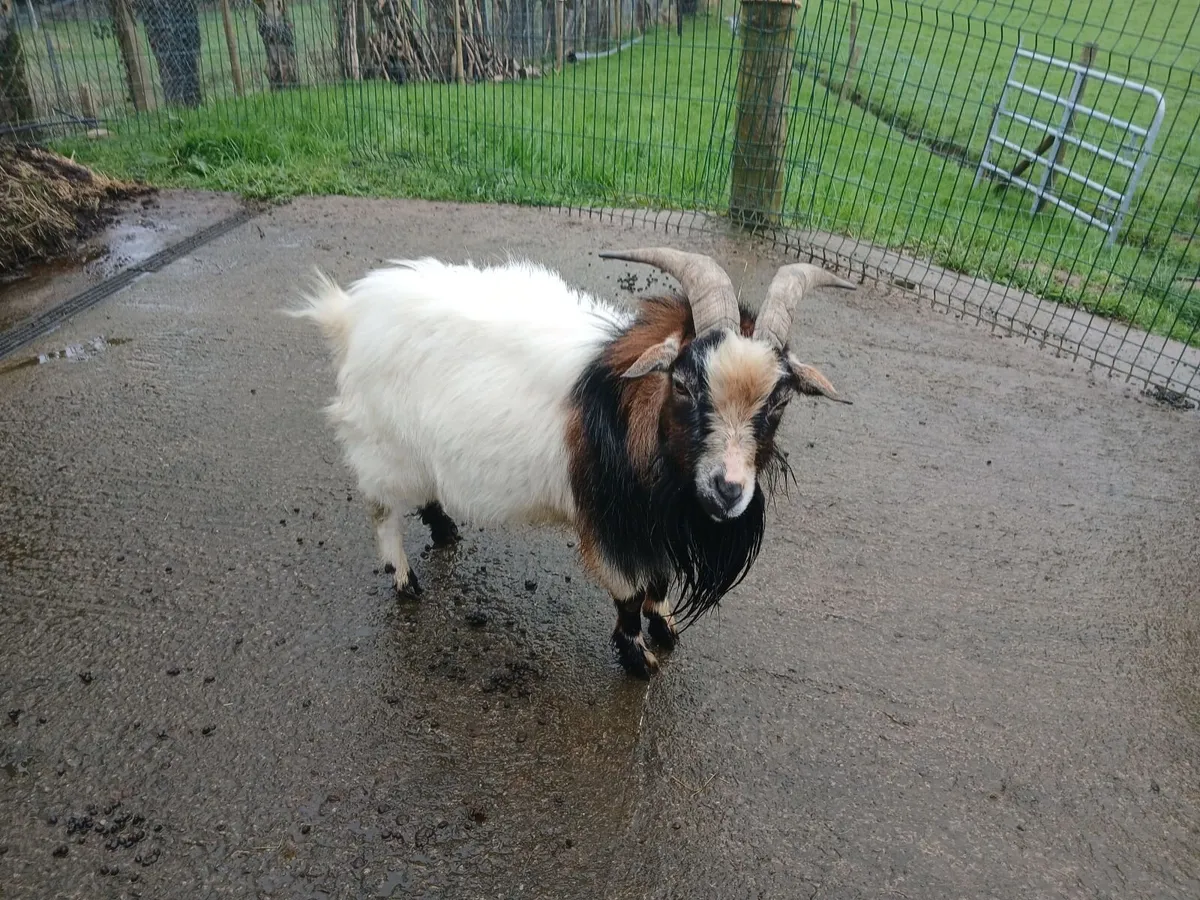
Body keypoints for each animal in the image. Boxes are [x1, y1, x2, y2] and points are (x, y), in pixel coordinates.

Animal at [290, 248, 853, 678]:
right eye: (683, 383)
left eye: (780, 400)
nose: (728, 489)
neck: (631, 415)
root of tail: (350, 314)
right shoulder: (611, 527)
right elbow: (629, 597)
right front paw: (639, 659)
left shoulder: (652, 529)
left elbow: (658, 586)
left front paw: (665, 627)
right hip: (383, 449)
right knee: (382, 510)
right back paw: (405, 579)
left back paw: (446, 529)